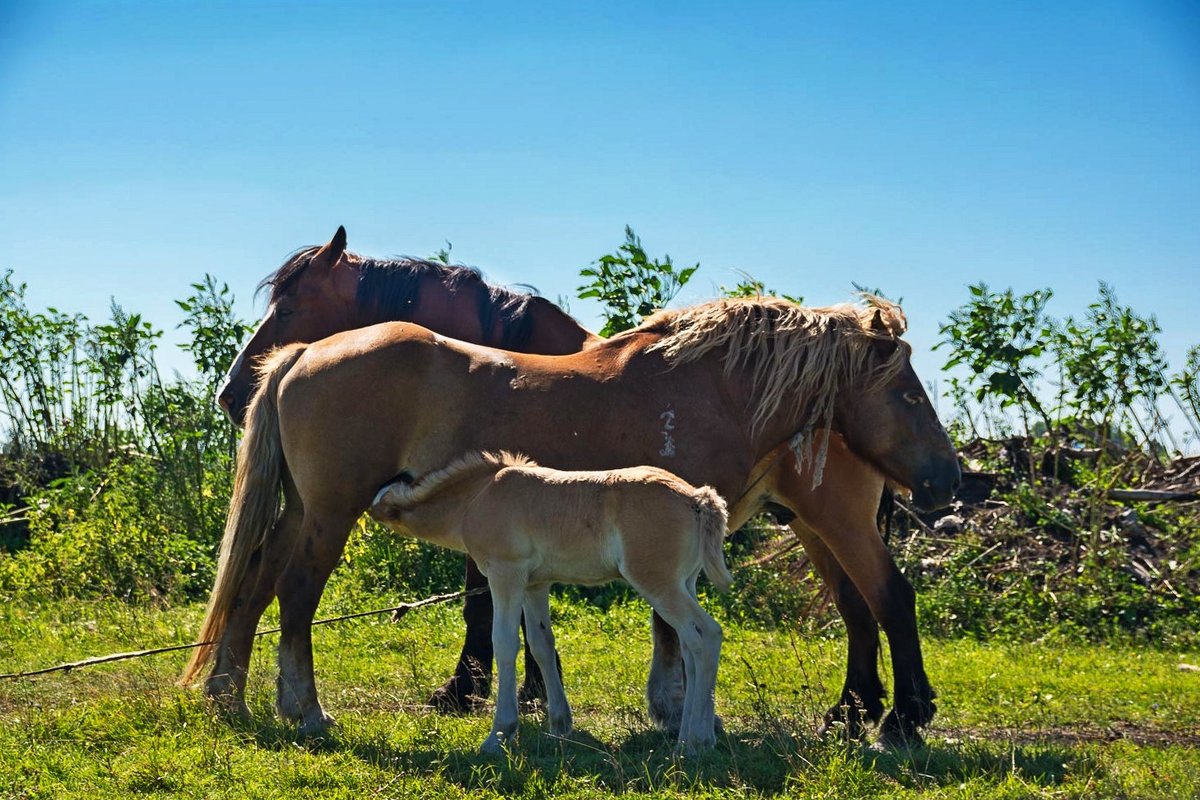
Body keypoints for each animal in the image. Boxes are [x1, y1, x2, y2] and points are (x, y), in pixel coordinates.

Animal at [369, 453, 729, 753]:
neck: (479, 496)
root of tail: (697, 499)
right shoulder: (535, 584)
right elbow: (541, 643)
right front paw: (559, 725)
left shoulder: (506, 574)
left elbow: (505, 643)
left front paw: (499, 735)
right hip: (684, 583)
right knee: (692, 644)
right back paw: (698, 737)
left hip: (657, 582)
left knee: (704, 635)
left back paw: (693, 741)